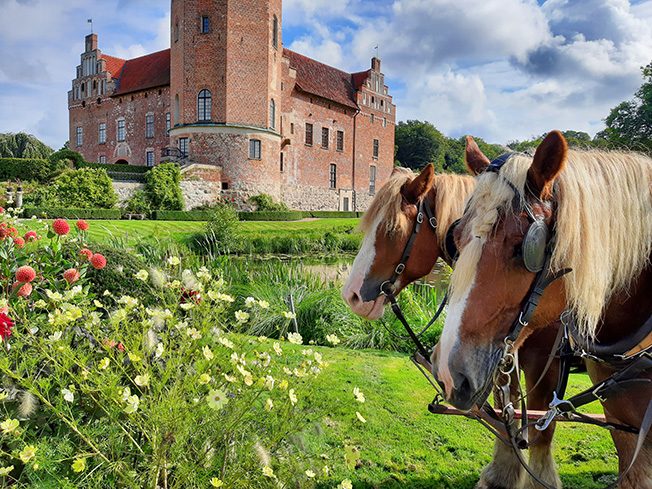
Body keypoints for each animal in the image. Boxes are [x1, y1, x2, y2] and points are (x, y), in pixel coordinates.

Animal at [344, 163, 564, 488]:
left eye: (392, 230)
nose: (351, 296)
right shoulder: (499, 358)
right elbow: (507, 412)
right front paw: (501, 474)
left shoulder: (544, 366)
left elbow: (541, 431)